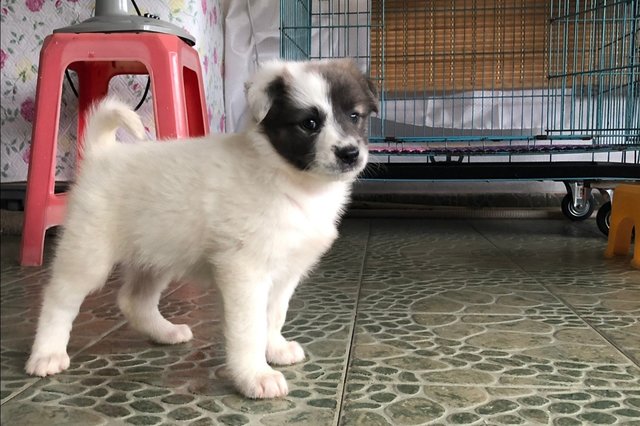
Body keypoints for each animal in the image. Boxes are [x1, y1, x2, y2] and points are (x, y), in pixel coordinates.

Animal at [26, 59, 380, 400]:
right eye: (309, 124)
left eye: (355, 116)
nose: (350, 153)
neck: (291, 180)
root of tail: (104, 154)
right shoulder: (244, 271)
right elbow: (249, 328)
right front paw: (255, 376)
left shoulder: (285, 273)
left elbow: (274, 315)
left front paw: (275, 349)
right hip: (89, 251)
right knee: (58, 298)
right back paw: (46, 354)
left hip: (155, 255)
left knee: (133, 300)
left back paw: (167, 332)